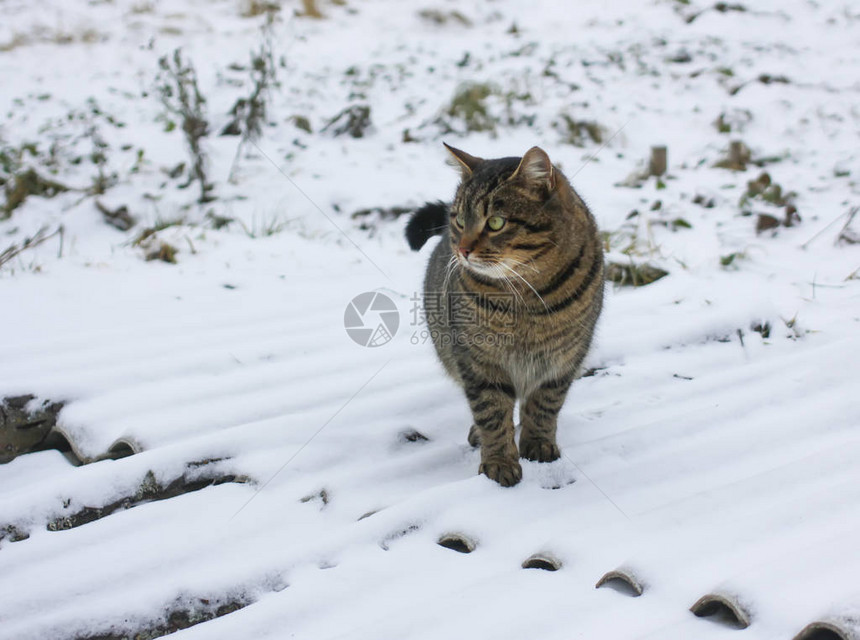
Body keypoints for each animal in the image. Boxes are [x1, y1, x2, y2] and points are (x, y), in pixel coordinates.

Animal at [404, 144, 600, 484]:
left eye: (495, 222)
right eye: (459, 220)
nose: (463, 250)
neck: (527, 297)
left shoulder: (562, 361)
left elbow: (545, 406)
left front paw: (538, 444)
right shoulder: (478, 361)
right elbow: (492, 413)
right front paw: (499, 462)